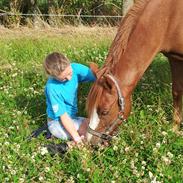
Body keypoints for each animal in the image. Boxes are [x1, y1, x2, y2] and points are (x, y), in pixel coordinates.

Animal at [86, 0, 183, 145]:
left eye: (104, 111)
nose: (89, 143)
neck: (170, 16)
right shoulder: (174, 58)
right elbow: (176, 92)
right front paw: (175, 130)